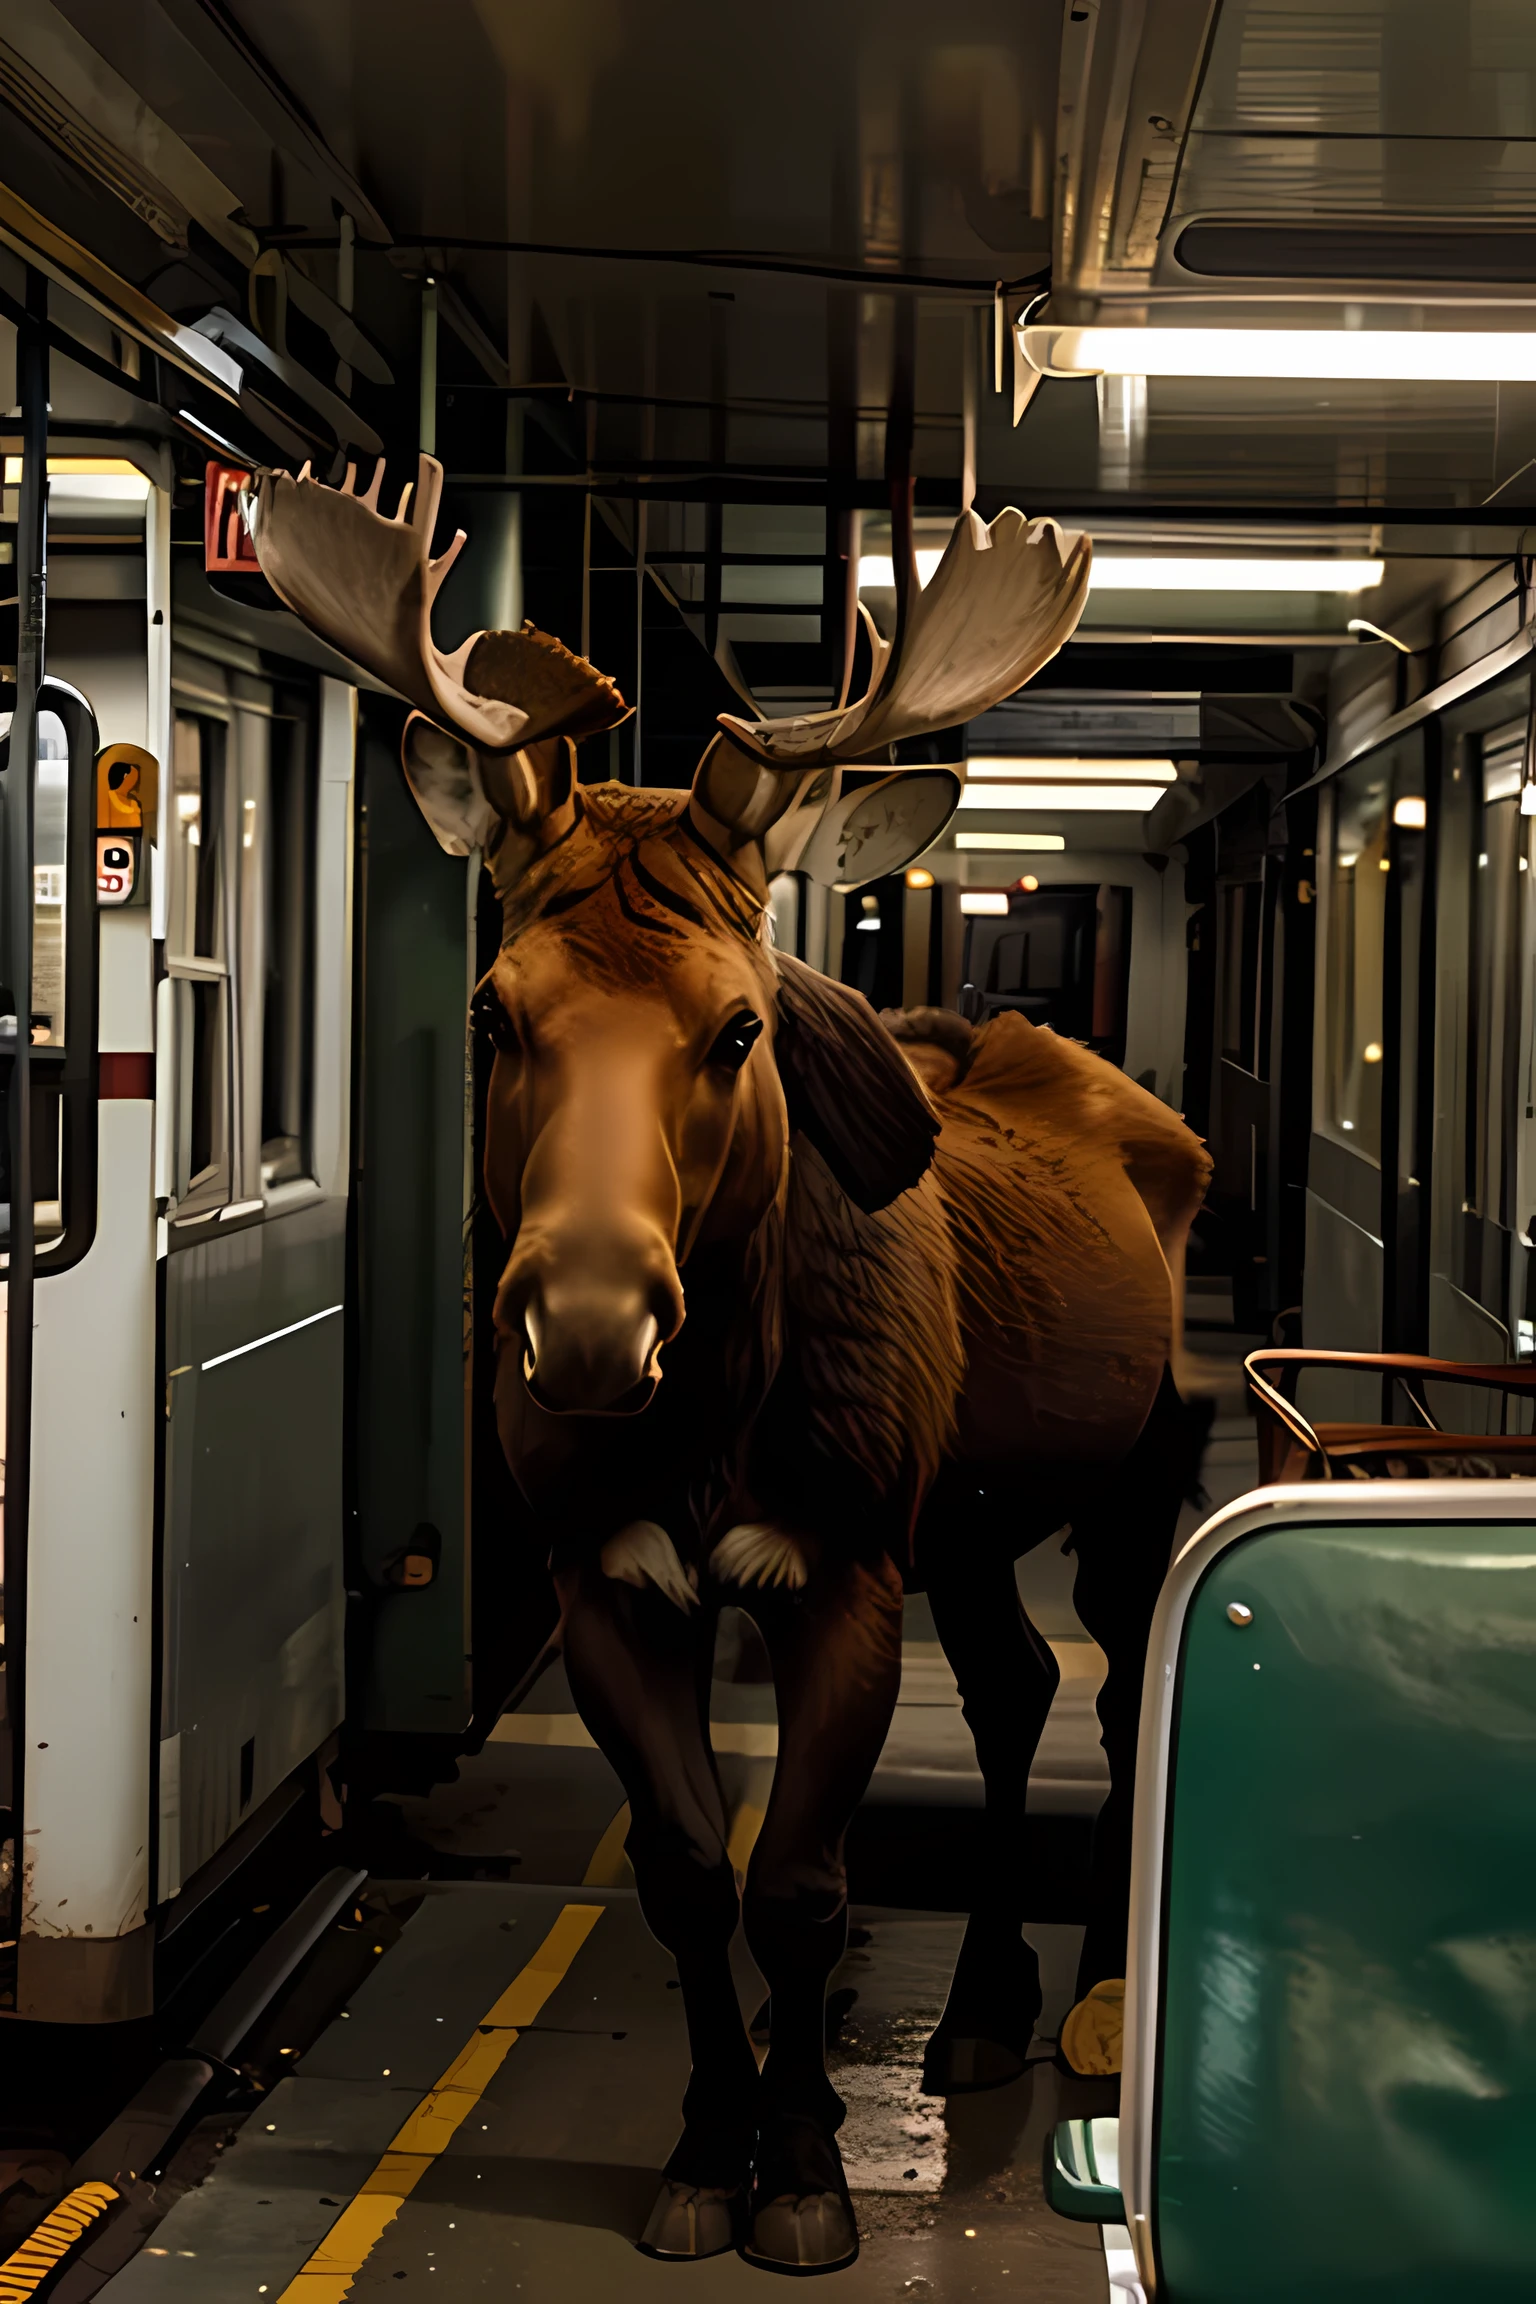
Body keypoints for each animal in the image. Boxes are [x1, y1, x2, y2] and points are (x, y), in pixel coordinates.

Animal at [249, 458, 1215, 2276]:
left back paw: (1097, 1994)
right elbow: (696, 1872)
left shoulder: (840, 1564)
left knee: (1122, 1685)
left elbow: (807, 1885)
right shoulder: (606, 1574)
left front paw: (809, 2166)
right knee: (1011, 1683)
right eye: (491, 1008)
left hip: (1138, 1464)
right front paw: (713, 2143)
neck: (708, 1426)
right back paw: (978, 1998)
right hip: (965, 1516)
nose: (589, 1323)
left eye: (740, 1021)